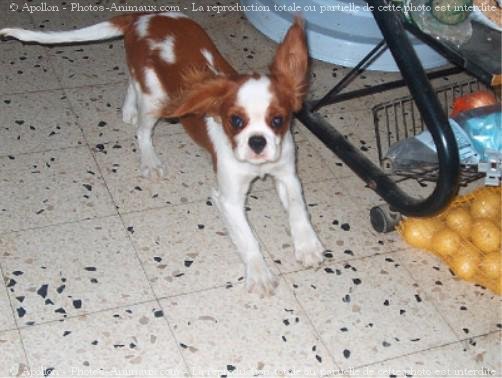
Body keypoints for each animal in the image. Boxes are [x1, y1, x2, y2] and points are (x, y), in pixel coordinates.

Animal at [0, 12, 326, 296]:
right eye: (235, 121)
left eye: (278, 120)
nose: (257, 142)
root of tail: (143, 16)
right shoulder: (228, 199)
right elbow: (248, 238)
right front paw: (259, 274)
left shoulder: (286, 173)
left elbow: (298, 208)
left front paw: (307, 246)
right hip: (155, 99)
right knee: (143, 131)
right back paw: (149, 158)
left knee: (131, 84)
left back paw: (128, 108)